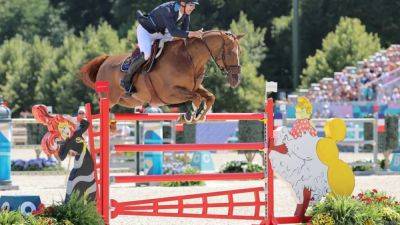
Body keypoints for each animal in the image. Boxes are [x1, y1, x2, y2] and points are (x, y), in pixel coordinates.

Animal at [79, 30, 242, 122]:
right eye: (230, 53)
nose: (236, 80)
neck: (189, 59)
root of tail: (105, 60)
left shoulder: (195, 87)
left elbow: (209, 97)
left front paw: (199, 116)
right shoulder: (169, 93)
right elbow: (196, 98)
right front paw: (192, 115)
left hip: (129, 101)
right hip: (110, 98)